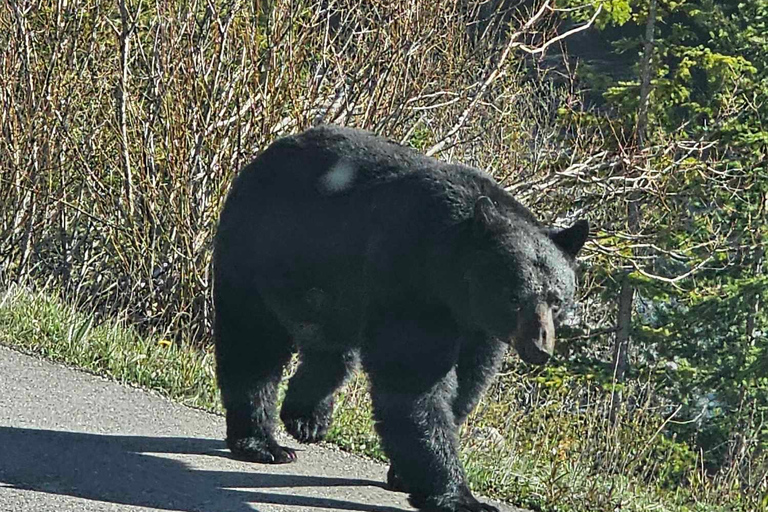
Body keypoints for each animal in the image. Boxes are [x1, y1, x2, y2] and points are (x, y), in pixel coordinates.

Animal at [213, 124, 584, 512]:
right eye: (514, 298)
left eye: (557, 300)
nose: (539, 347)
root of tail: (269, 152)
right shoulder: (410, 281)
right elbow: (415, 383)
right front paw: (458, 495)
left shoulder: (481, 329)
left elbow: (468, 383)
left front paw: (405, 474)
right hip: (257, 254)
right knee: (253, 343)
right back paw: (262, 443)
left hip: (332, 294)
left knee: (331, 353)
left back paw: (307, 417)